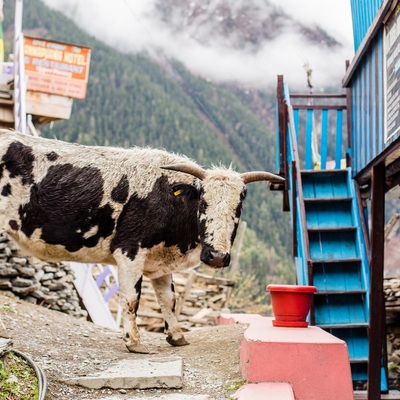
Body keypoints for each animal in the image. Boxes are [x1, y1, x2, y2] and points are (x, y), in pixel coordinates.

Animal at [0, 130, 284, 352]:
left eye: (239, 207)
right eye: (203, 202)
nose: (217, 256)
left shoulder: (160, 263)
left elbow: (169, 299)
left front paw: (177, 336)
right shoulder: (129, 251)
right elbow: (131, 298)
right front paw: (133, 341)